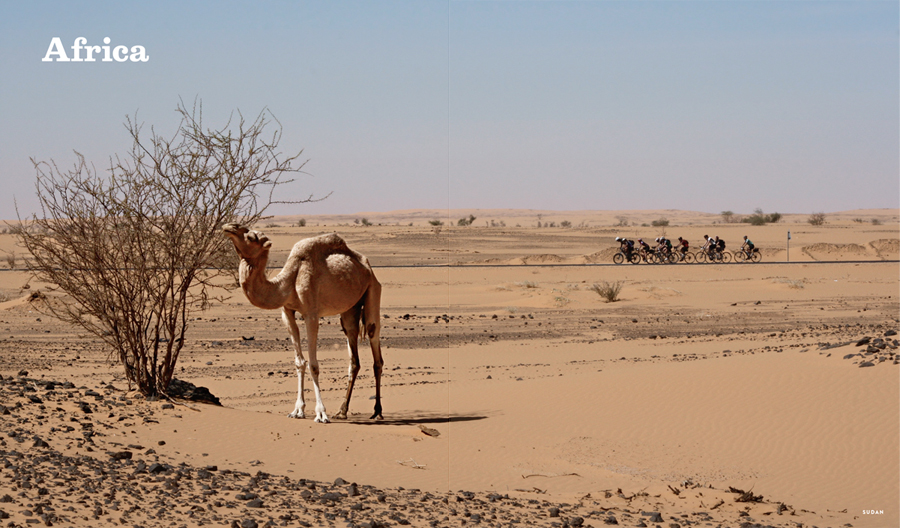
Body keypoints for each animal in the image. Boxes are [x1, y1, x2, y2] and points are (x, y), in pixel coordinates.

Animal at [223, 225, 384, 422]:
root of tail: (367, 267)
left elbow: (314, 365)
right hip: (349, 309)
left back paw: (377, 411)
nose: (228, 227)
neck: (288, 281)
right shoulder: (287, 312)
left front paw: (321, 413)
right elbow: (299, 362)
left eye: (251, 237)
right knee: (353, 355)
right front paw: (297, 410)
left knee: (374, 343)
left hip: (373, 289)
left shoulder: (311, 314)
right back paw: (342, 410)